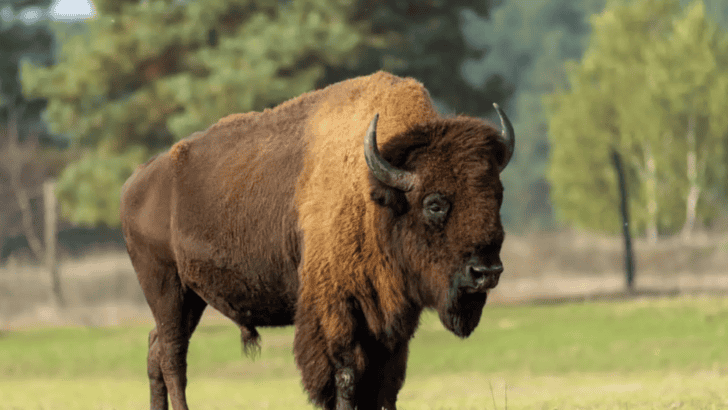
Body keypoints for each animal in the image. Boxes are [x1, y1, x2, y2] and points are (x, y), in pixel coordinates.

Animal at [120, 71, 514, 410]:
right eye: (434, 204)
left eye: (497, 195)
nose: (486, 272)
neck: (375, 194)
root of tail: (137, 181)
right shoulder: (336, 309)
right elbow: (345, 376)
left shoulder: (392, 319)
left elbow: (386, 383)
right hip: (166, 287)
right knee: (173, 356)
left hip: (191, 298)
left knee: (156, 349)